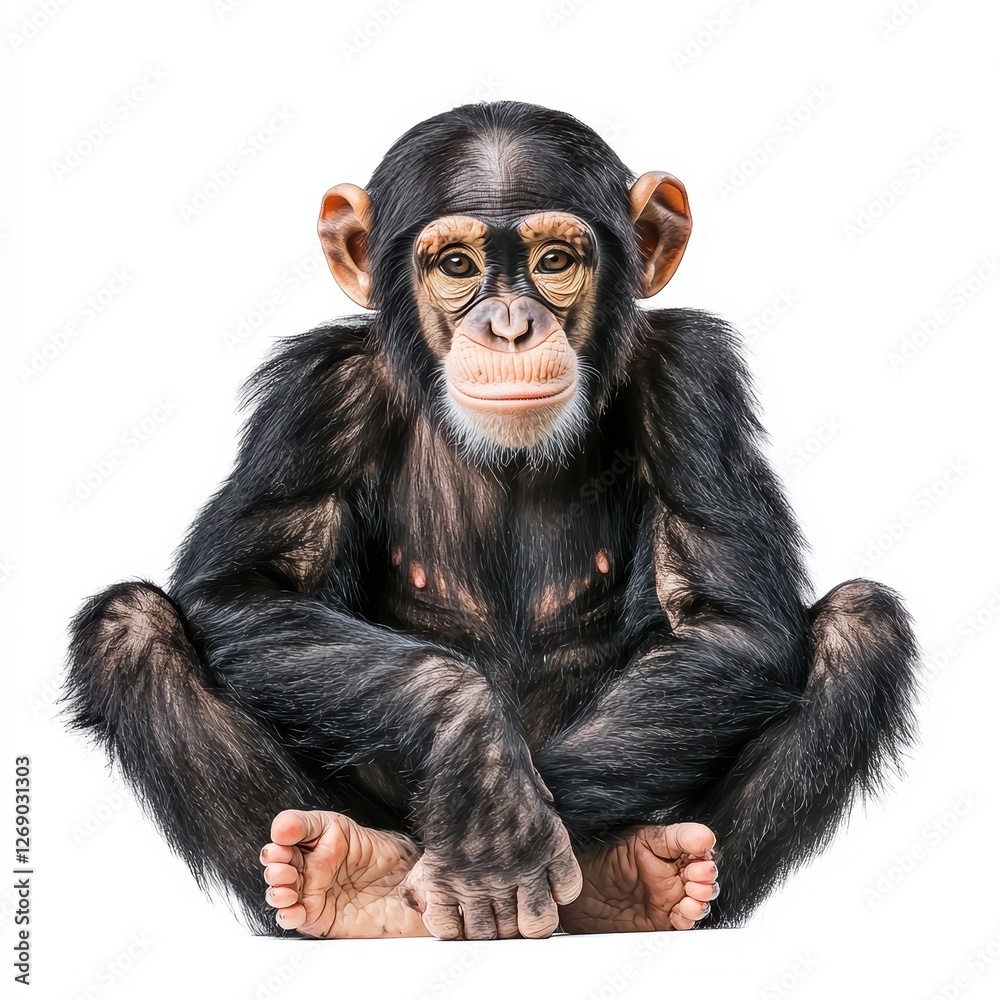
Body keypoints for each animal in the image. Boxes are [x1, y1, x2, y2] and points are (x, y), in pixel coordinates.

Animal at [65, 101, 918, 939]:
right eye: (457, 267)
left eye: (554, 261)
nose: (509, 326)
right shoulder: (316, 397)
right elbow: (246, 587)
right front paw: (485, 788)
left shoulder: (692, 380)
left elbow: (727, 620)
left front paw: (500, 836)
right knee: (131, 627)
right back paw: (348, 882)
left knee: (860, 625)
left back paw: (633, 881)